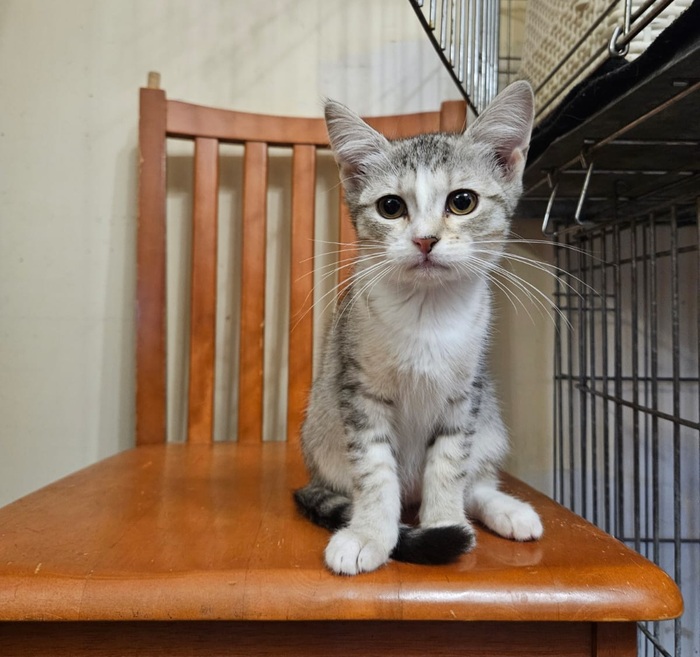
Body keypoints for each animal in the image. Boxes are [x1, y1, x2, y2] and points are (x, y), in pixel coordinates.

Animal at [294, 80, 543, 575]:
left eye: (462, 201)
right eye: (391, 207)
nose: (426, 239)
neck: (427, 313)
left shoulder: (465, 394)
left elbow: (449, 464)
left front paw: (446, 522)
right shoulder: (359, 389)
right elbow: (374, 469)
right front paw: (370, 533)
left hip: (488, 420)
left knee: (475, 481)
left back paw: (506, 510)